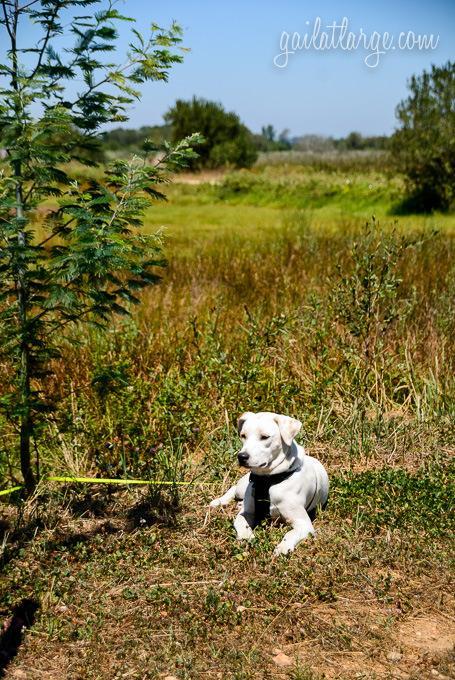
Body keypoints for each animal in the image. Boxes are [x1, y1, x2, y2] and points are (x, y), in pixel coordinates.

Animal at [212, 412, 330, 556]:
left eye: (264, 437)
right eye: (243, 435)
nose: (242, 457)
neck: (268, 480)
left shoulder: (303, 523)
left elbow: (290, 533)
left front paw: (283, 547)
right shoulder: (246, 512)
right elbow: (240, 522)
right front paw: (246, 537)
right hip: (242, 487)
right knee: (234, 489)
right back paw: (219, 501)